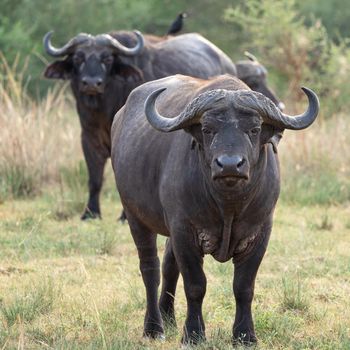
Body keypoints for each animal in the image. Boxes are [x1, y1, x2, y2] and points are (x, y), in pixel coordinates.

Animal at [43, 30, 284, 221]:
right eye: (78, 58)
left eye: (107, 58)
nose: (92, 83)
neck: (104, 106)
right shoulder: (88, 135)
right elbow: (94, 178)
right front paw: (90, 213)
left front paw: (123, 216)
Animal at [110, 74, 318, 344]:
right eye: (208, 129)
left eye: (254, 129)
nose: (229, 164)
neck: (228, 205)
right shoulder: (184, 230)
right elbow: (195, 285)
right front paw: (193, 334)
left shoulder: (260, 232)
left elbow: (244, 286)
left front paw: (245, 335)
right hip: (135, 216)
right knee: (150, 269)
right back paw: (154, 328)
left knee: (168, 265)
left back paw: (169, 317)